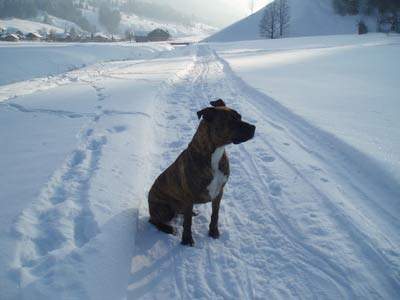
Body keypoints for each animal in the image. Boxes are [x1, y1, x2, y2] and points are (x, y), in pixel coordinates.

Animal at [148, 99, 256, 246]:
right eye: (231, 121)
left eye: (240, 117)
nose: (253, 127)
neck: (215, 153)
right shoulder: (189, 196)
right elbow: (188, 223)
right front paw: (187, 240)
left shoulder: (219, 192)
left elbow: (215, 214)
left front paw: (213, 231)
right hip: (164, 209)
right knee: (154, 220)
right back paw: (168, 228)